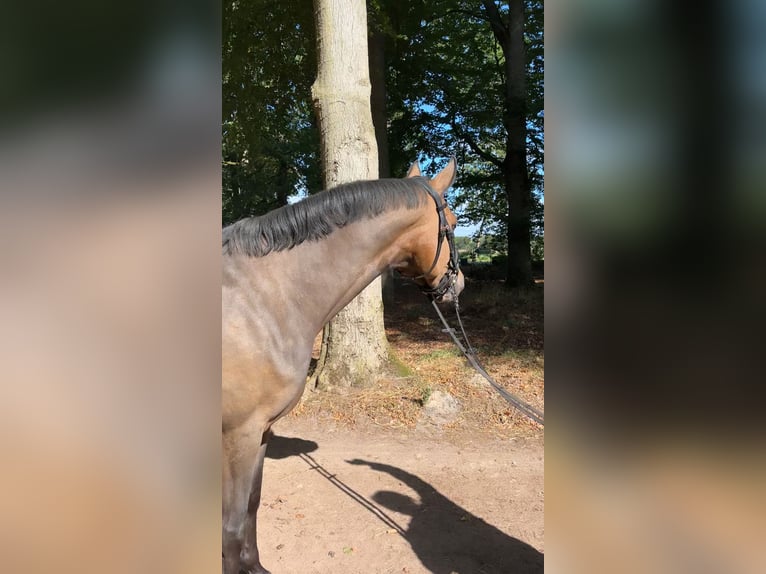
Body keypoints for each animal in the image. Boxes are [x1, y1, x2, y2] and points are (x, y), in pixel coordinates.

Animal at [221, 158, 464, 574]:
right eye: (452, 220)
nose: (458, 285)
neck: (263, 297)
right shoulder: (239, 434)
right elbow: (232, 525)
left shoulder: (262, 431)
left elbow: (252, 505)